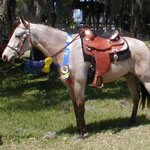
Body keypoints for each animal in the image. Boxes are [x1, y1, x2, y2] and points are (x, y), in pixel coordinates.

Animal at [1, 17, 150, 139]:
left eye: (18, 35)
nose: (5, 56)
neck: (67, 50)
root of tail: (144, 45)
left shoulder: (79, 84)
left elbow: (80, 106)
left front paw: (82, 133)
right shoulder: (69, 86)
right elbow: (74, 108)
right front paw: (79, 130)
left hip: (145, 78)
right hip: (130, 77)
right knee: (135, 98)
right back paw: (130, 122)